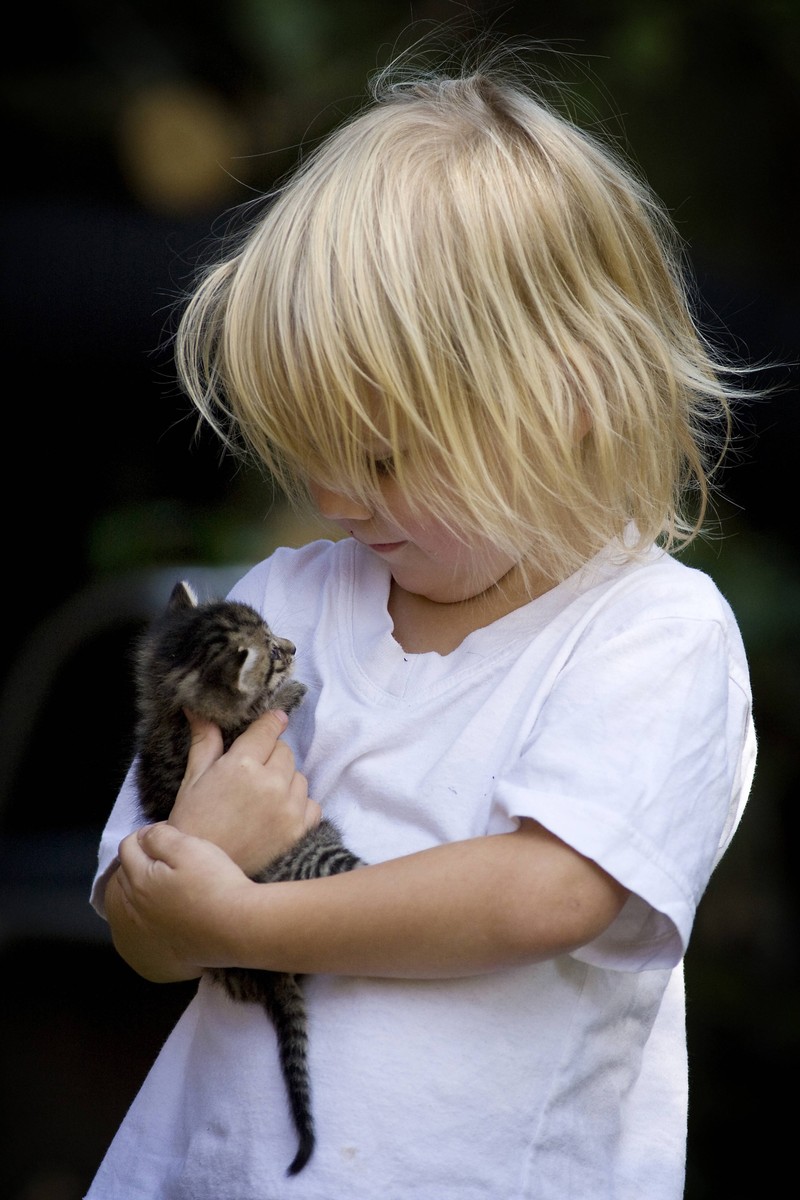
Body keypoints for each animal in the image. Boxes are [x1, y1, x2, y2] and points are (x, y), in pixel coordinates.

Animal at [133, 578, 364, 1171]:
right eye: (273, 656)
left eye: (277, 637)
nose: (294, 648)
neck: (172, 704)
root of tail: (262, 972)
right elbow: (259, 712)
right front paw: (284, 695)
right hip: (318, 852)